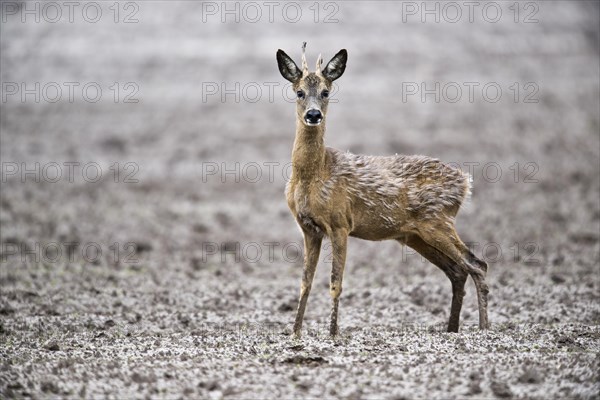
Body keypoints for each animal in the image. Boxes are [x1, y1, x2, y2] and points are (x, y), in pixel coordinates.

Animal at [278, 43, 490, 338]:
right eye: (299, 92)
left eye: (325, 92)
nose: (313, 115)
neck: (314, 175)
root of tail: (465, 182)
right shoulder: (309, 228)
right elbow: (305, 282)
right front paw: (295, 333)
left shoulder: (340, 223)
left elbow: (335, 282)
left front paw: (333, 334)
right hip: (415, 235)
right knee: (458, 270)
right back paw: (452, 330)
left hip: (438, 221)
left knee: (477, 265)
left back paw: (483, 329)